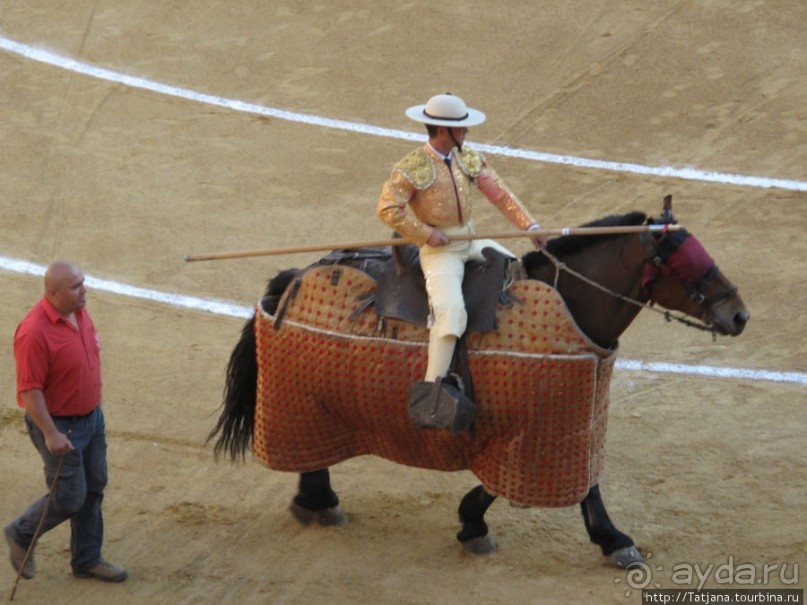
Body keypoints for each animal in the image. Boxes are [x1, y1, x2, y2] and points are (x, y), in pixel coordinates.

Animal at [210, 197, 752, 568]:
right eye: (685, 262)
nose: (739, 315)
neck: (571, 302)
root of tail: (293, 274)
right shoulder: (534, 431)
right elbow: (562, 486)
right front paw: (611, 541)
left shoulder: (570, 424)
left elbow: (584, 481)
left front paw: (610, 540)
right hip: (305, 403)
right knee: (311, 456)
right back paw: (318, 502)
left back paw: (319, 501)